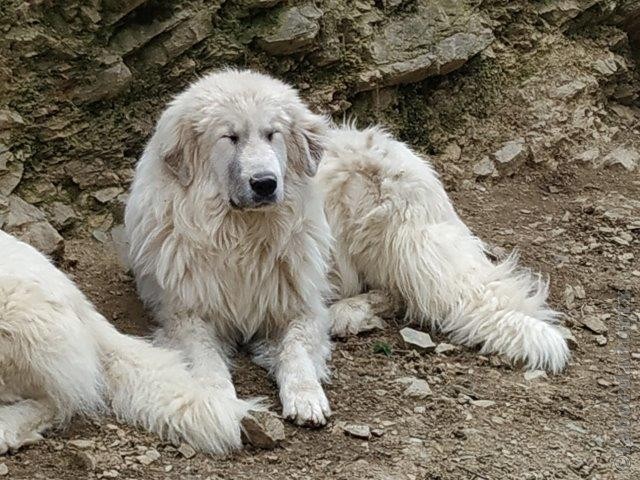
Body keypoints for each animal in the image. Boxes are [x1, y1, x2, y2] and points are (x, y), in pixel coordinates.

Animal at [125, 69, 568, 448]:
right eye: (229, 137)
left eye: (272, 134)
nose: (266, 183)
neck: (242, 236)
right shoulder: (187, 316)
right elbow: (206, 363)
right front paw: (219, 399)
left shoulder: (299, 308)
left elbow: (296, 351)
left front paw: (305, 396)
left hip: (399, 237)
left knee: (405, 291)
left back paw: (344, 315)